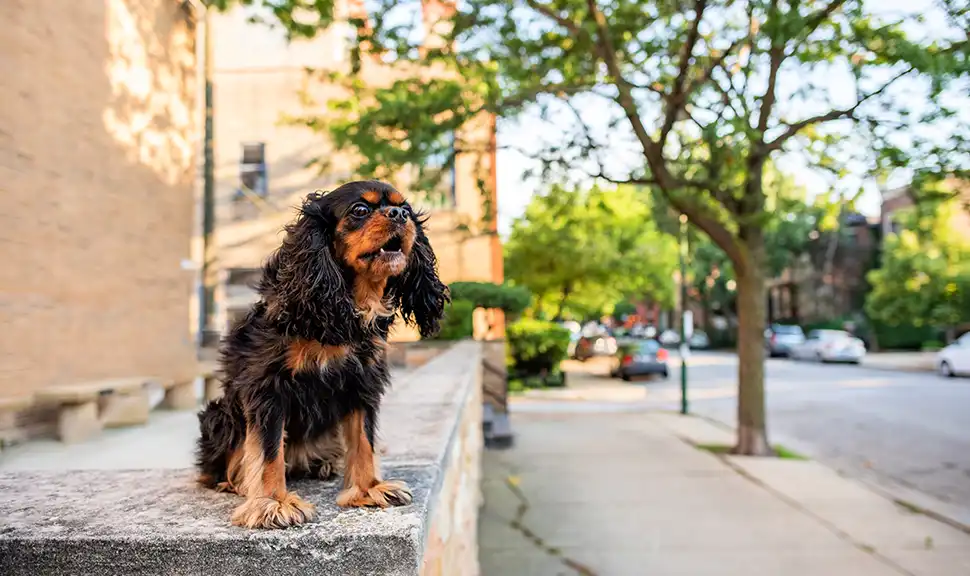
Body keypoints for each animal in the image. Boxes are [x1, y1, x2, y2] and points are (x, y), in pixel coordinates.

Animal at [198, 182, 454, 528]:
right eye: (360, 210)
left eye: (407, 210)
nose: (399, 215)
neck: (344, 309)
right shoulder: (267, 387)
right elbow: (268, 450)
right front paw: (272, 503)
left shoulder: (363, 382)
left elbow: (363, 440)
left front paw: (368, 489)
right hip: (217, 415)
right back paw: (236, 480)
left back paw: (325, 464)